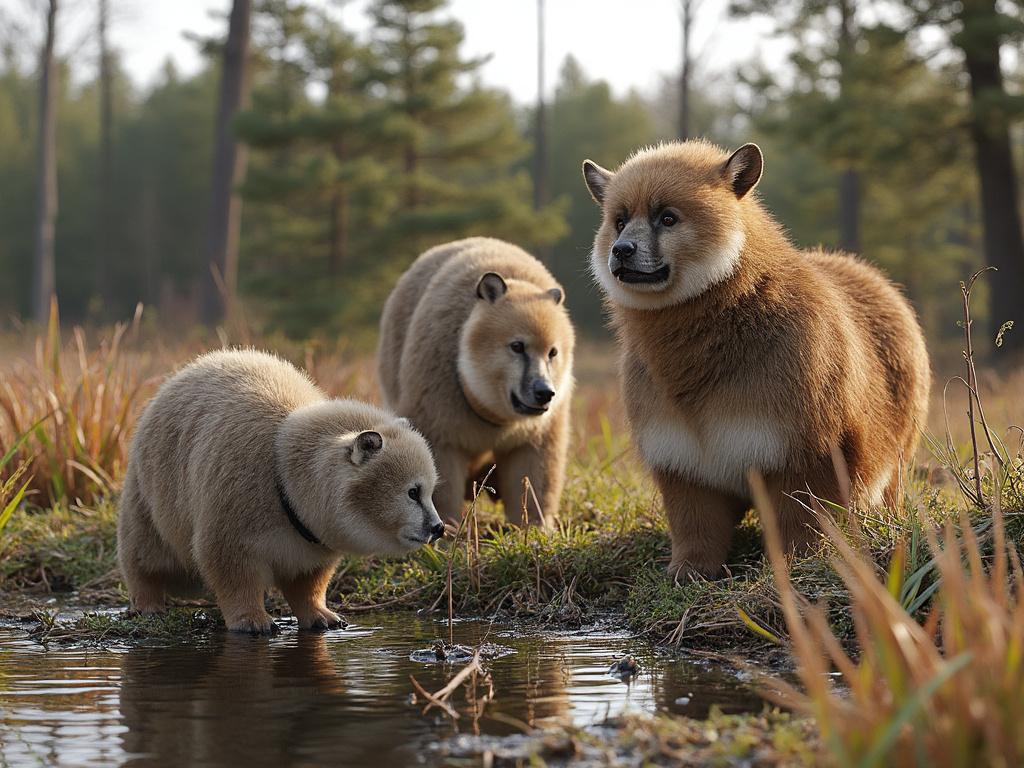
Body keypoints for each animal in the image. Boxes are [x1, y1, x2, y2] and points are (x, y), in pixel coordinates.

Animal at [117, 349, 443, 634]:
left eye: (430, 490)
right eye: (413, 492)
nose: (437, 527)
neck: (282, 475)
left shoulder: (310, 536)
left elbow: (308, 575)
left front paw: (325, 616)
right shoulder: (237, 494)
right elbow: (226, 559)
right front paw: (253, 621)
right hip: (149, 485)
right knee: (144, 548)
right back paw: (148, 602)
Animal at [377, 237, 576, 526]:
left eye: (553, 351)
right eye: (517, 346)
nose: (544, 392)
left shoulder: (539, 429)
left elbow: (535, 474)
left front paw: (536, 525)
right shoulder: (437, 410)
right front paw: (447, 527)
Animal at [582, 140, 930, 578]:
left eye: (668, 218)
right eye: (619, 221)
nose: (621, 250)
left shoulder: (805, 454)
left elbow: (801, 524)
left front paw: (796, 565)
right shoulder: (682, 463)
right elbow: (695, 530)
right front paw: (687, 572)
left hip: (898, 458)